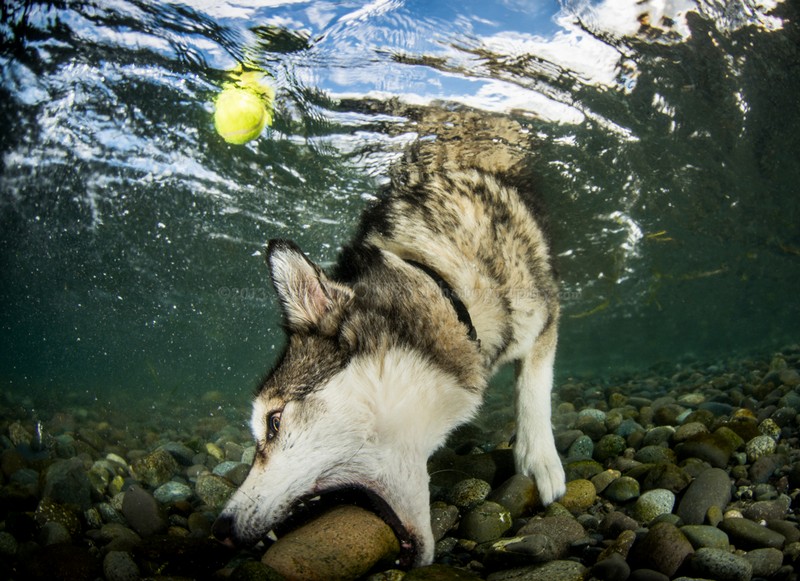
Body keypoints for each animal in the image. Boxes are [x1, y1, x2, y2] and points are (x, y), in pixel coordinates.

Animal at [209, 109, 564, 568]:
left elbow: (534, 384)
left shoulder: (545, 309)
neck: (439, 282)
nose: (219, 530)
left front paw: (539, 457)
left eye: (273, 422)